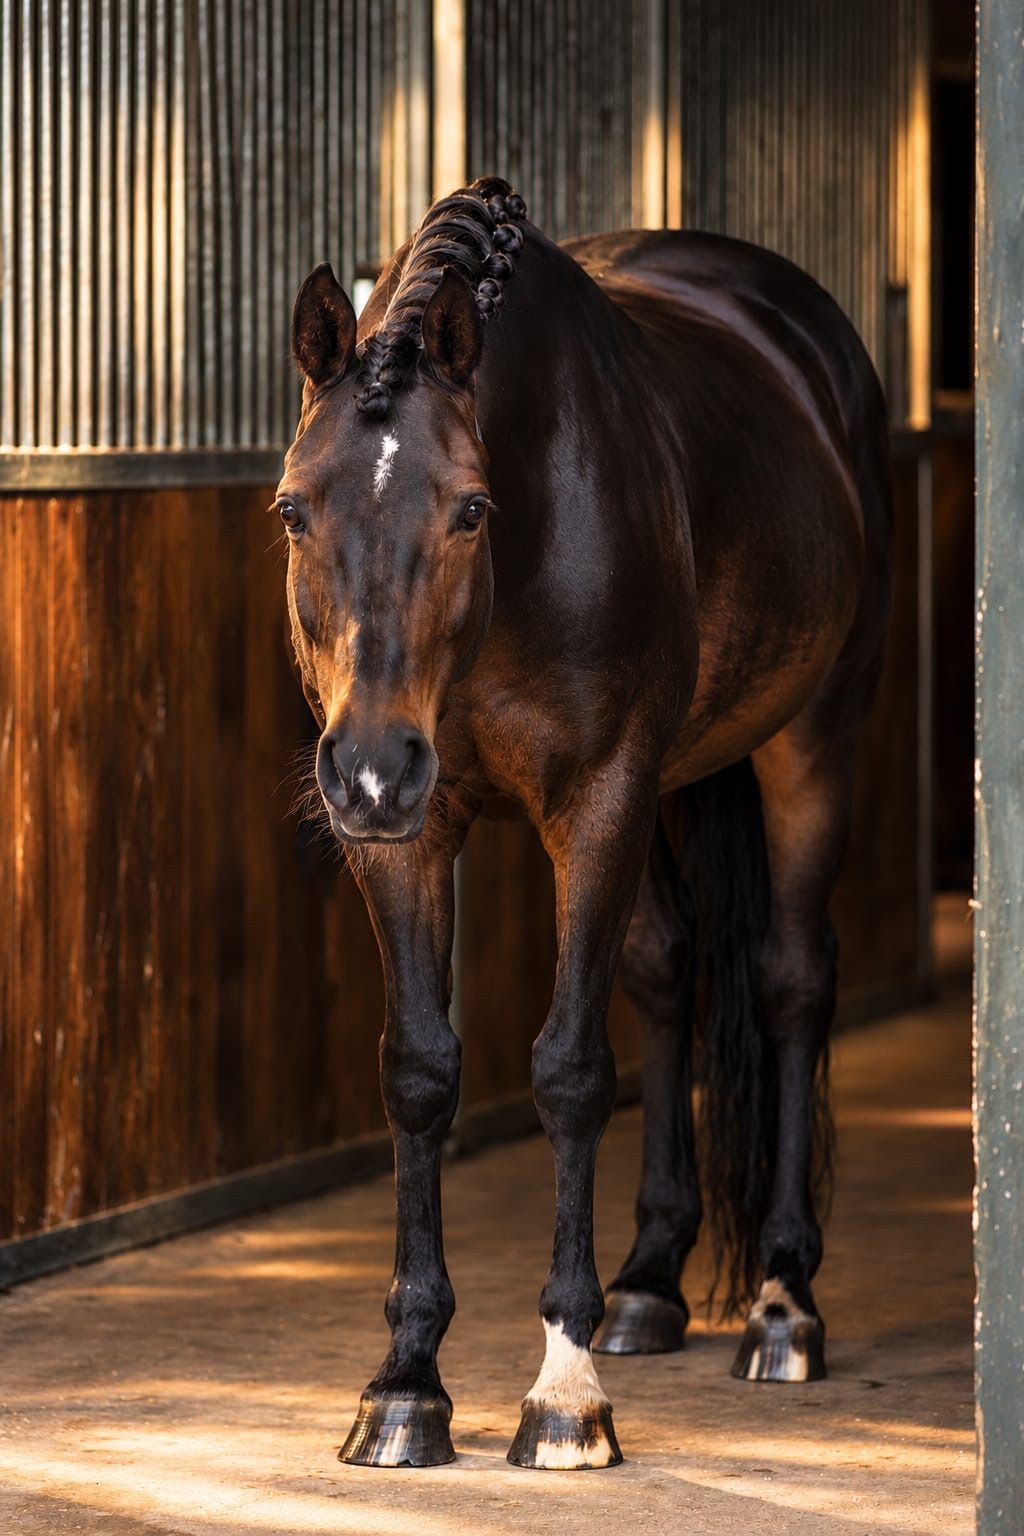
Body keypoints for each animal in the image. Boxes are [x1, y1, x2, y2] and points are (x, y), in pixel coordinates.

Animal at [277, 176, 891, 1471]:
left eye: (469, 511)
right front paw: (404, 1384)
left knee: (790, 981)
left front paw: (561, 1396)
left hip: (811, 738)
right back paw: (650, 1283)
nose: (369, 768)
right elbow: (419, 1070)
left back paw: (780, 1306)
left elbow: (567, 1071)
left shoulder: (598, 797)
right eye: (294, 510)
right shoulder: (407, 841)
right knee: (663, 971)